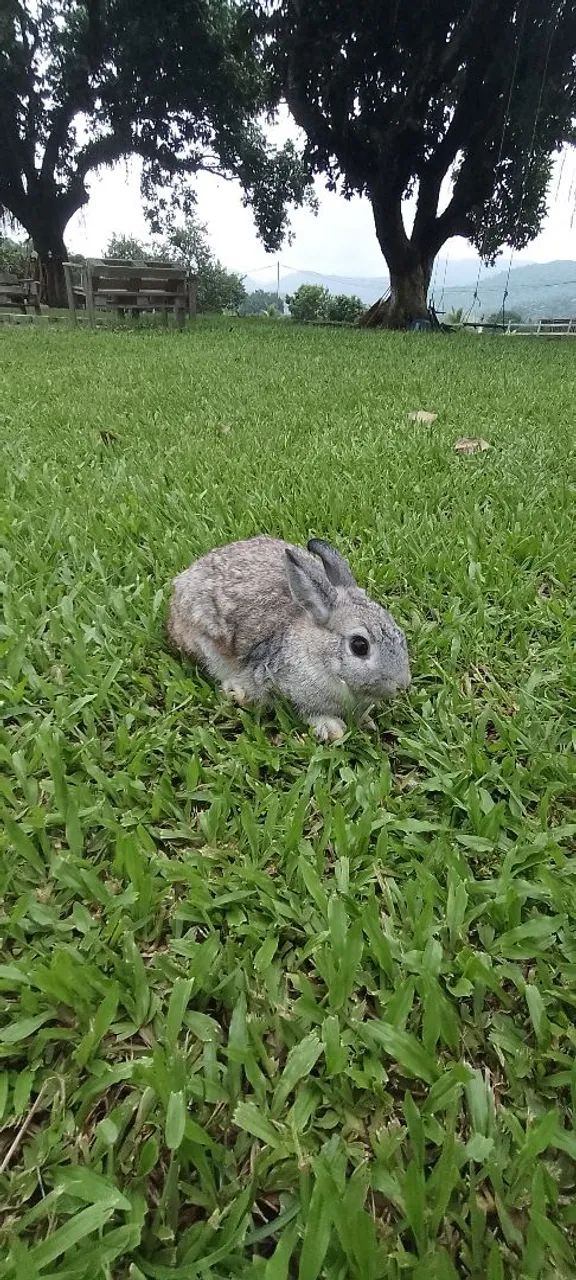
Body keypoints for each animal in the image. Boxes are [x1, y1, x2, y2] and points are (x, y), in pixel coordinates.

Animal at [167, 536, 411, 741]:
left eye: (398, 631)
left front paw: (366, 722)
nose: (403, 684)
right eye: (359, 645)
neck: (319, 654)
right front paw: (332, 729)